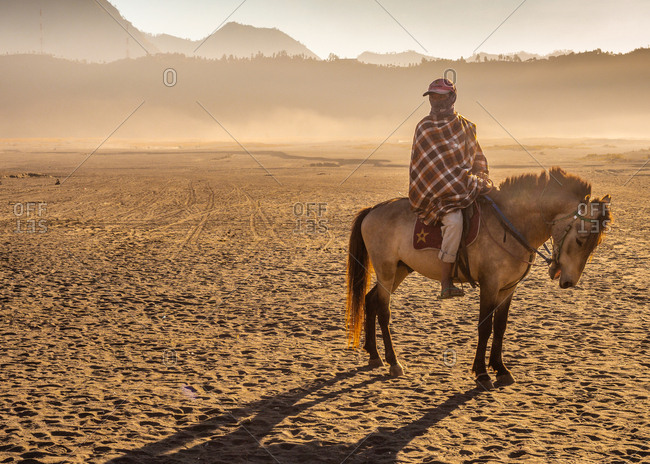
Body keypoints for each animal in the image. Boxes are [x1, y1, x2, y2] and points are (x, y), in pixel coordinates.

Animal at [345, 167, 611, 389]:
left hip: (400, 269)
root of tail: (373, 210)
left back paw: (374, 356)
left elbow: (500, 327)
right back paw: (393, 362)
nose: (568, 281)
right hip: (387, 270)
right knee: (383, 309)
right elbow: (485, 326)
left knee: (370, 300)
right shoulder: (489, 285)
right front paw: (482, 373)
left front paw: (501, 369)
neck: (512, 224)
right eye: (580, 239)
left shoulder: (507, 288)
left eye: (594, 245)